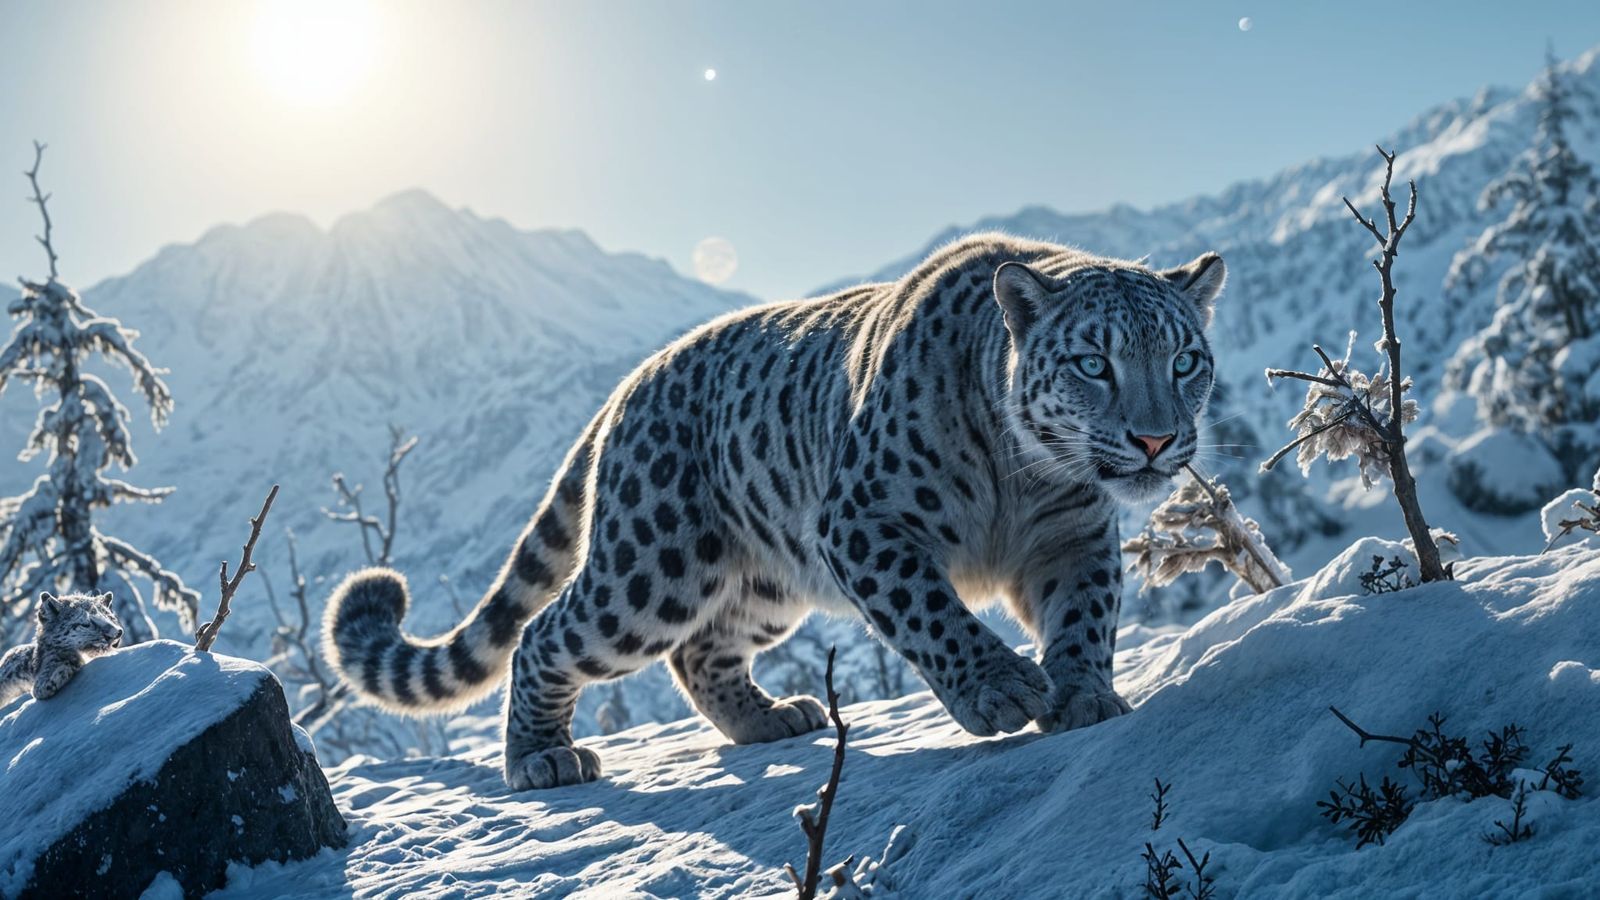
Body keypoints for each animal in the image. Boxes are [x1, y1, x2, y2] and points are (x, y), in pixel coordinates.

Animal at [324, 233, 1226, 790]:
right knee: (550, 633)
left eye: (1185, 360)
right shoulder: (862, 523)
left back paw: (769, 720)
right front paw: (1002, 688)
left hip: (765, 582)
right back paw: (540, 760)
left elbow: (1085, 617)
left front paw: (1084, 697)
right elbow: (932, 610)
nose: (1155, 439)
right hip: (651, 570)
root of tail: (630, 383)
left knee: (701, 655)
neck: (1025, 474)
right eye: (1092, 363)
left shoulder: (1074, 538)